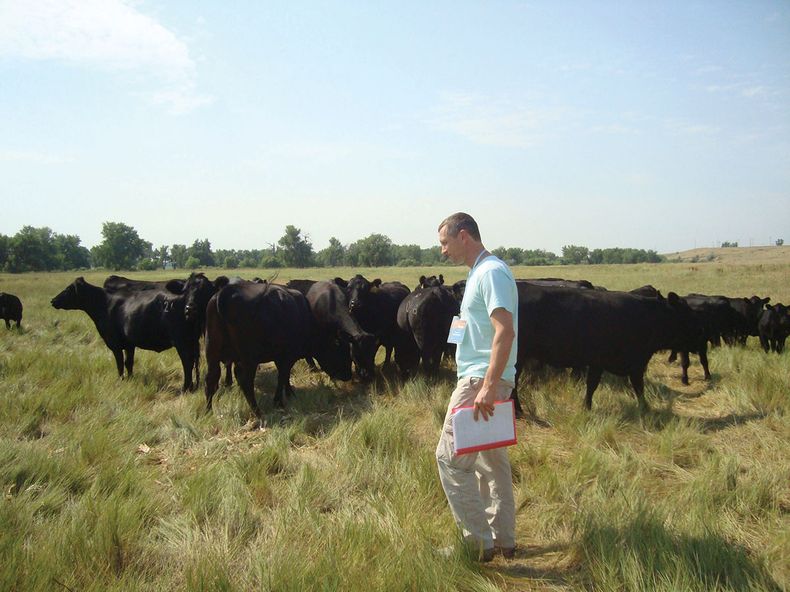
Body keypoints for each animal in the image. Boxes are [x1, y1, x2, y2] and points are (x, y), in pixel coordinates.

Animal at [50, 275, 217, 391]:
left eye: (68, 289)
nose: (53, 300)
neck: (105, 303)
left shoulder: (114, 343)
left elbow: (119, 363)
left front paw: (121, 380)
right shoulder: (129, 344)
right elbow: (128, 362)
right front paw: (130, 379)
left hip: (182, 341)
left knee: (187, 362)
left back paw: (185, 387)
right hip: (191, 340)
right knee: (193, 361)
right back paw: (193, 386)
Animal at [204, 281, 353, 418]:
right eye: (342, 350)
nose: (348, 375)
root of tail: (225, 292)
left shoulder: (279, 356)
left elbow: (285, 376)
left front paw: (289, 393)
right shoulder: (287, 356)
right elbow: (283, 375)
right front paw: (279, 401)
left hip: (212, 354)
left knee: (211, 380)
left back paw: (208, 411)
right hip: (248, 359)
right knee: (245, 382)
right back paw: (257, 412)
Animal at [513, 283, 704, 410]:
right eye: (687, 313)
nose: (702, 333)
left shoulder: (615, 362)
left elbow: (602, 385)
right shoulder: (624, 361)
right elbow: (633, 385)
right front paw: (645, 408)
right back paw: (518, 411)